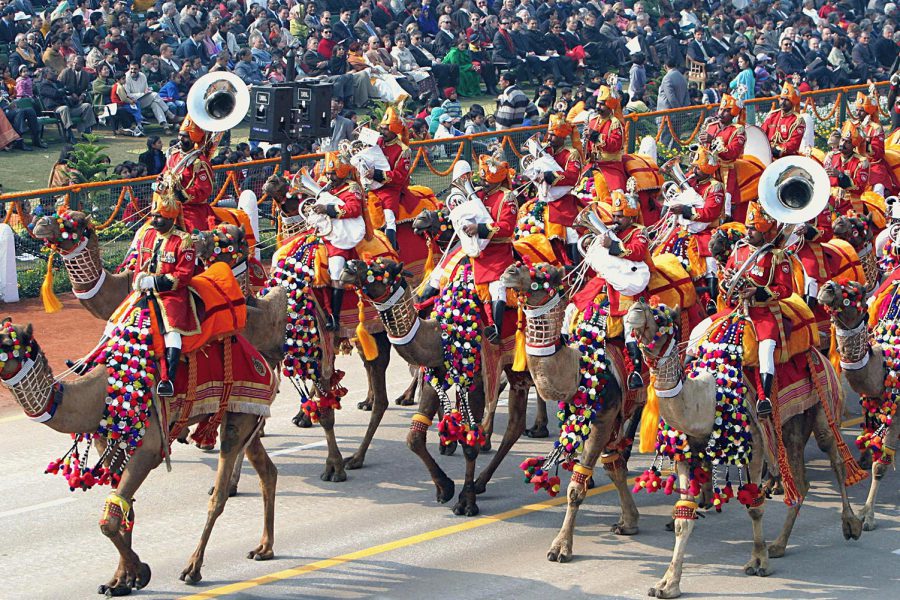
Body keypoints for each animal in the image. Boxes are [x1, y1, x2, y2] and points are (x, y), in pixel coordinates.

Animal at [0, 322, 274, 592]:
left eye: (6, 344)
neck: (99, 396)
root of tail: (263, 363)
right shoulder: (109, 445)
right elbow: (124, 508)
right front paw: (120, 581)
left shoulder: (148, 450)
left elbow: (108, 521)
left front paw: (140, 572)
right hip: (245, 415)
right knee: (267, 470)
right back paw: (264, 548)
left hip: (238, 413)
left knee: (219, 494)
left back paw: (192, 568)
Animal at [340, 258, 536, 516]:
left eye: (385, 267)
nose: (349, 267)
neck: (442, 333)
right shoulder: (437, 371)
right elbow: (414, 436)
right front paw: (445, 487)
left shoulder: (476, 379)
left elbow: (469, 443)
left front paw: (466, 503)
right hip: (517, 368)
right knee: (515, 425)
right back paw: (482, 481)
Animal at [502, 262, 644, 564]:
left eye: (545, 272)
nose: (511, 270)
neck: (580, 369)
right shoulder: (602, 417)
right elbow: (614, 468)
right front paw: (628, 522)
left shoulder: (602, 419)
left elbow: (576, 489)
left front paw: (560, 548)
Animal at [624, 302, 864, 596]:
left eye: (663, 317)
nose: (636, 308)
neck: (708, 398)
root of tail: (821, 353)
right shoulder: (685, 453)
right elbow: (683, 517)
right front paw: (667, 584)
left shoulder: (756, 448)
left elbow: (754, 507)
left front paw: (758, 562)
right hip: (790, 427)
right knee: (800, 481)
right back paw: (779, 545)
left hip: (823, 404)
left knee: (835, 458)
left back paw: (851, 524)